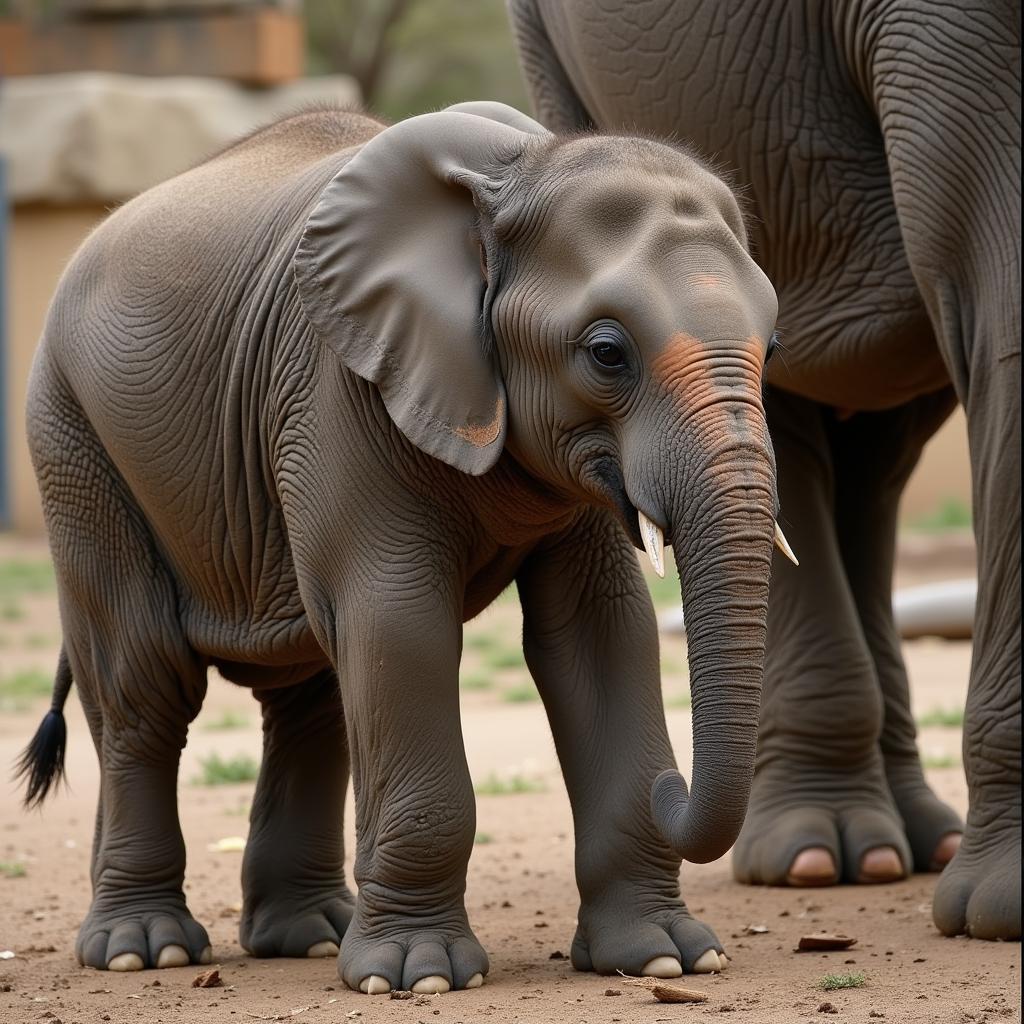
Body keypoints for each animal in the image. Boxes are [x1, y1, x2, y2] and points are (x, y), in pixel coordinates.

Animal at [19, 103, 786, 991]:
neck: (521, 171)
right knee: (144, 686)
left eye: (771, 347)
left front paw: (665, 957)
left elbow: (600, 634)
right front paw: (419, 976)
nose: (672, 783)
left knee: (310, 692)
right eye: (606, 353)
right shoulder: (338, 390)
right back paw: (145, 949)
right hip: (74, 441)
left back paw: (308, 936)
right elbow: (401, 625)